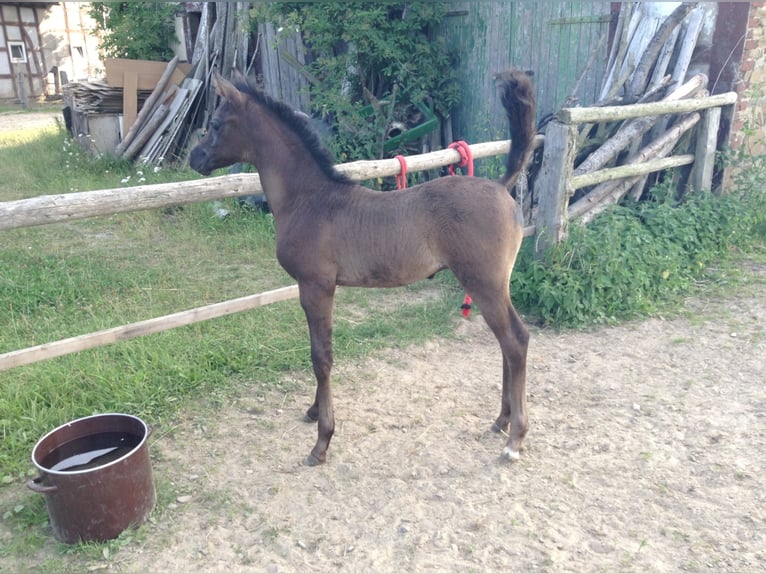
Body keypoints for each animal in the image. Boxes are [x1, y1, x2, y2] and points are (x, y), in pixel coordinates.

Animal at [190, 68, 537, 465]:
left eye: (215, 124)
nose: (194, 157)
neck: (309, 199)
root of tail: (501, 186)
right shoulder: (318, 288)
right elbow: (317, 350)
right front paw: (314, 412)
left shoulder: (316, 287)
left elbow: (321, 357)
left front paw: (322, 441)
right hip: (493, 285)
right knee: (507, 343)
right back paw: (501, 421)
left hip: (485, 283)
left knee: (515, 342)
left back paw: (514, 439)